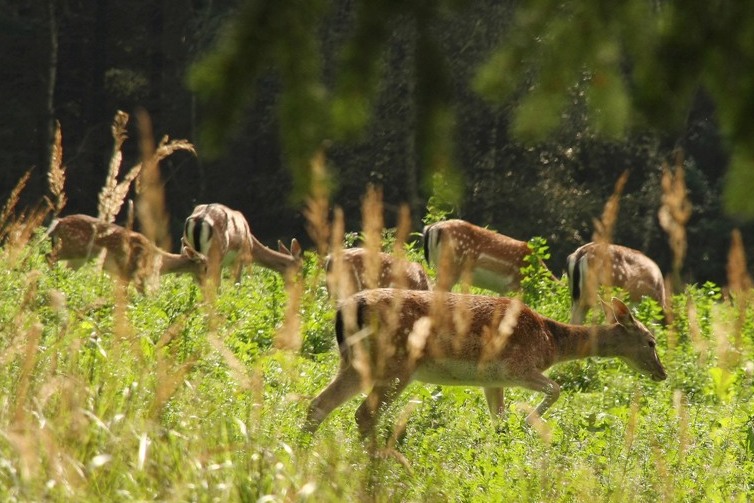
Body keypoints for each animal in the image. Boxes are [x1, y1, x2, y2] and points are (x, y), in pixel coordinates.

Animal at [46, 213, 206, 292]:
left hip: (77, 257)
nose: (206, 283)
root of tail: (59, 222)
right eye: (205, 266)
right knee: (50, 256)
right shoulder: (130, 272)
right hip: (74, 247)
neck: (159, 263)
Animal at [302, 290, 664, 440]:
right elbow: (556, 388)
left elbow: (498, 421)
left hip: (354, 361)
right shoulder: (519, 367)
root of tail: (344, 310)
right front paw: (530, 422)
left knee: (319, 404)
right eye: (651, 341)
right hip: (397, 363)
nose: (662, 373)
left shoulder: (493, 379)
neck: (550, 341)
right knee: (364, 413)